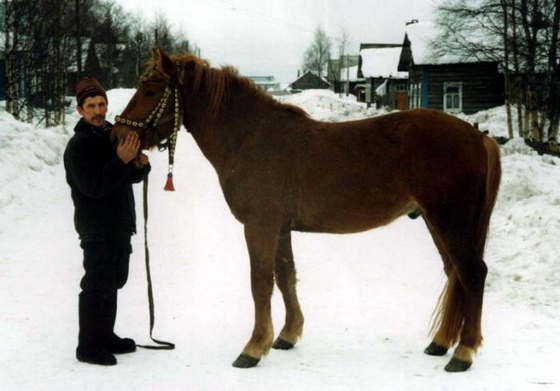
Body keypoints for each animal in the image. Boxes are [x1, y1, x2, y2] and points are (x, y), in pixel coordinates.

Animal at [111, 49, 500, 374]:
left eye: (150, 91)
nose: (117, 137)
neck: (251, 139)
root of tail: (478, 136)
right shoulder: (281, 228)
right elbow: (285, 277)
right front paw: (286, 335)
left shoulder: (259, 226)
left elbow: (260, 282)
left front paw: (253, 348)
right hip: (437, 222)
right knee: (455, 273)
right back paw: (441, 343)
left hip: (450, 220)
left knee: (472, 273)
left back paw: (463, 354)